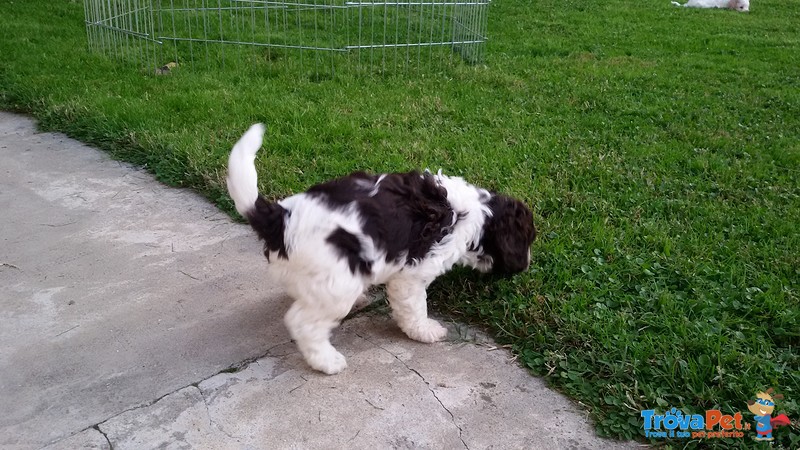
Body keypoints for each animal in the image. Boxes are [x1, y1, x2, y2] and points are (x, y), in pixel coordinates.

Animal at [227, 123, 536, 372]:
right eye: (527, 240)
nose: (527, 265)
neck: (478, 214)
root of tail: (279, 217)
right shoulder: (413, 274)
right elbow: (414, 307)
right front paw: (424, 331)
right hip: (338, 282)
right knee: (302, 322)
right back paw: (327, 361)